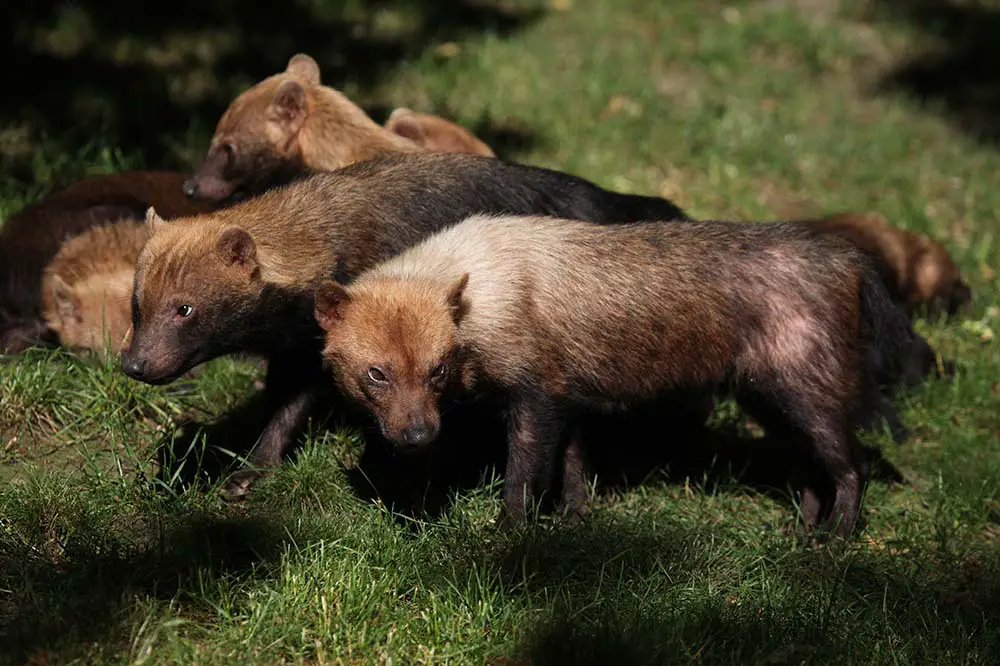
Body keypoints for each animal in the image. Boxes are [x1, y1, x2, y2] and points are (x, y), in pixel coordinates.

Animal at [119, 149, 696, 492]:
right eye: (137, 303)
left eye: (185, 308)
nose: (134, 364)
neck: (322, 236)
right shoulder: (301, 344)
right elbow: (281, 405)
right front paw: (247, 473)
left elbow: (293, 407)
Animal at [314, 215, 920, 536]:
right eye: (376, 373)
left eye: (438, 369)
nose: (418, 437)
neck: (483, 288)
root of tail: (849, 258)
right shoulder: (566, 399)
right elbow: (574, 468)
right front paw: (575, 521)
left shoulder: (536, 397)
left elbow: (524, 477)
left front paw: (510, 536)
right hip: (770, 399)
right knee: (811, 465)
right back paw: (804, 532)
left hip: (806, 391)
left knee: (855, 463)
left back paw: (835, 540)